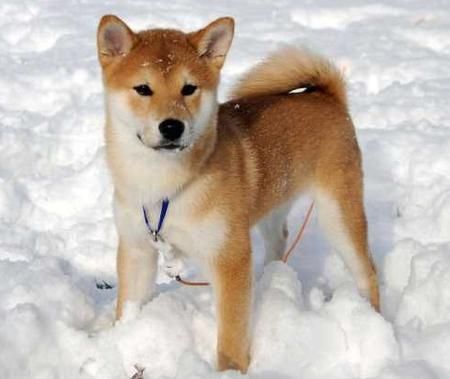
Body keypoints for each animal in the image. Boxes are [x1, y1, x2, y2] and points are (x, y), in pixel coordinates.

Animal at [96, 15, 380, 374]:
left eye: (189, 88)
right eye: (143, 88)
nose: (172, 126)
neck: (164, 186)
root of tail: (328, 97)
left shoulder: (228, 255)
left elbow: (231, 334)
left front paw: (229, 370)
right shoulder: (137, 248)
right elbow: (129, 306)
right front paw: (122, 337)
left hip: (338, 214)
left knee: (368, 271)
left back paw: (374, 319)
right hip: (271, 205)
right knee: (279, 239)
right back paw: (269, 279)